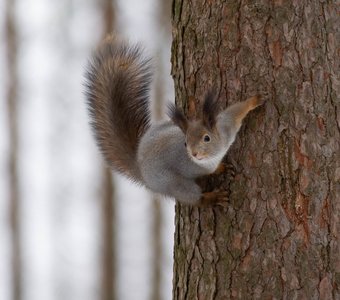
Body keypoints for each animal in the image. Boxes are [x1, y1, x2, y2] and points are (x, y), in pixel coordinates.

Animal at [83, 34, 264, 205]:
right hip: (173, 184)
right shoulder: (203, 163)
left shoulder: (226, 127)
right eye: (185, 142)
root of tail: (140, 169)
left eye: (207, 138)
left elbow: (236, 112)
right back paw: (212, 198)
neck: (214, 154)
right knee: (193, 198)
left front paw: (255, 100)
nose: (194, 154)